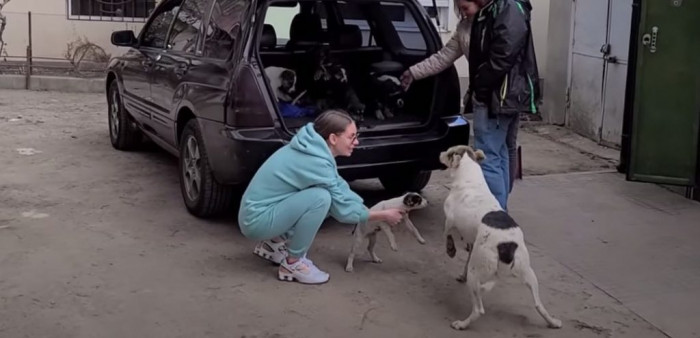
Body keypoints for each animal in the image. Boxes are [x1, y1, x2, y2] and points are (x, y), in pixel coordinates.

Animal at [440, 145, 560, 330]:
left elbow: (448, 234)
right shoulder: (473, 242)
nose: (440, 153)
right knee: (538, 304)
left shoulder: (450, 220)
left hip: (476, 276)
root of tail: (507, 245)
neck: (470, 177)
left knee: (478, 310)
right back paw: (553, 322)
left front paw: (451, 250)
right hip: (529, 273)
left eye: (449, 152)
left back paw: (462, 324)